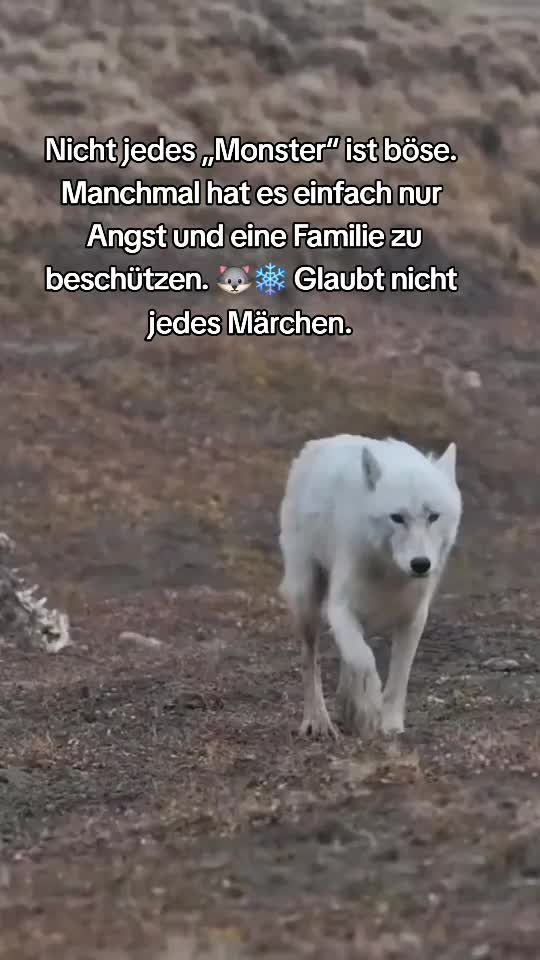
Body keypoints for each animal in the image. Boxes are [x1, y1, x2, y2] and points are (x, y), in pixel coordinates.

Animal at [279, 434, 462, 740]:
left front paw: (389, 724)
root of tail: (317, 444)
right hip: (307, 601)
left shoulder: (414, 618)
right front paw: (370, 707)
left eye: (433, 517)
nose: (420, 564)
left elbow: (399, 676)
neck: (390, 572)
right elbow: (364, 659)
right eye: (397, 517)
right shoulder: (339, 609)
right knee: (310, 662)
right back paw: (318, 720)